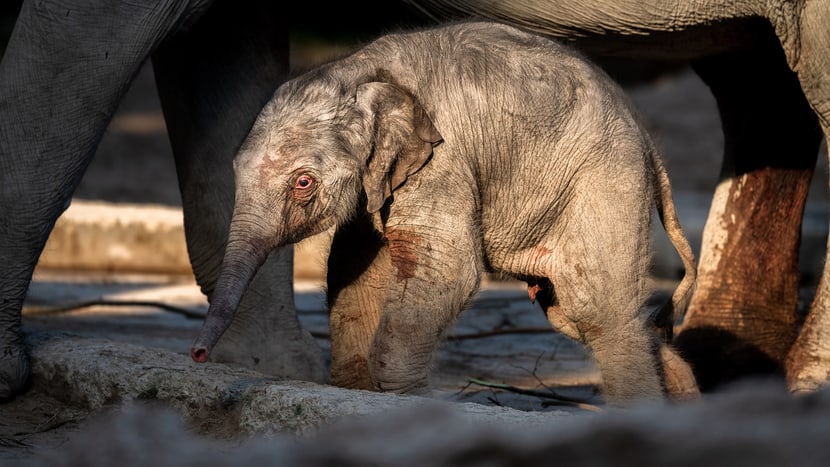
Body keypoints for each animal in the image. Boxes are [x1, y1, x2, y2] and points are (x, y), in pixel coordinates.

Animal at [188, 21, 699, 405]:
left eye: (303, 183)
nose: (196, 354)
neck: (358, 69)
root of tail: (647, 138)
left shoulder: (443, 160)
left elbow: (446, 268)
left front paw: (410, 401)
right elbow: (353, 270)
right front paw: (358, 391)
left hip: (606, 183)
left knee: (599, 312)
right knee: (574, 313)